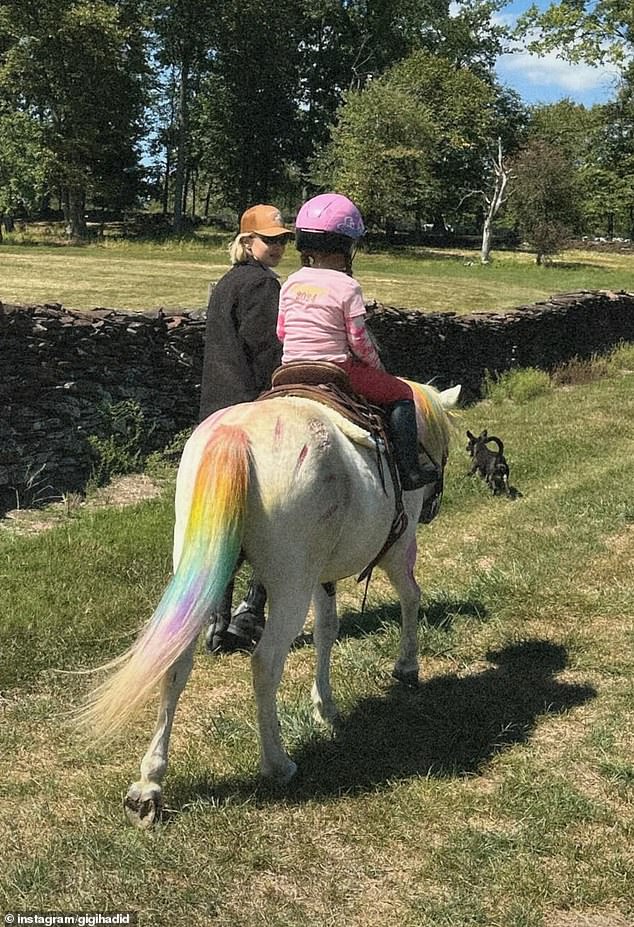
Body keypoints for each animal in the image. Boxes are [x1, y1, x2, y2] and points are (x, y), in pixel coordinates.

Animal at [81, 380, 460, 832]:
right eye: (445, 452)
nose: (434, 506)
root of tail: (237, 436)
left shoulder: (321, 576)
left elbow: (327, 630)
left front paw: (325, 706)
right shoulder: (395, 548)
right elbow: (409, 596)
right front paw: (406, 667)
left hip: (200, 571)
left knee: (175, 663)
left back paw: (149, 787)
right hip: (290, 583)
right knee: (265, 663)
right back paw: (278, 764)